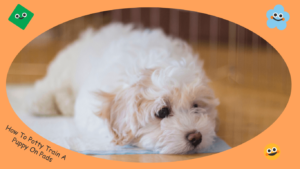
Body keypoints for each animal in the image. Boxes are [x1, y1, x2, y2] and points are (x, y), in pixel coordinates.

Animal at [28, 22, 218, 154]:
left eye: (196, 106)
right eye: (162, 112)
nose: (196, 137)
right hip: (64, 69)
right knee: (50, 85)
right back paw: (45, 102)